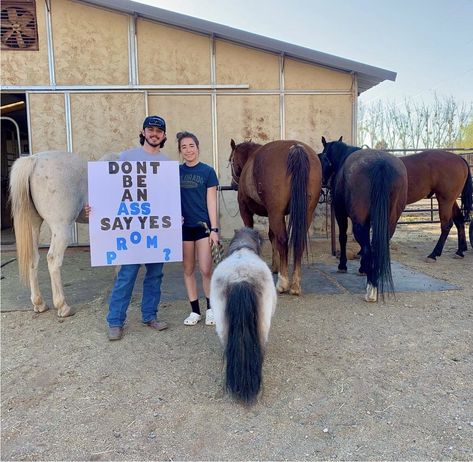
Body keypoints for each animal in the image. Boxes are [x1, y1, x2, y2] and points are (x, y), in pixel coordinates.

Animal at [9, 152, 118, 318]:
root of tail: (34, 160)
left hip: (33, 226)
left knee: (33, 259)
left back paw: (39, 304)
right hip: (61, 229)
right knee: (53, 259)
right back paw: (63, 306)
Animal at [229, 139, 320, 294]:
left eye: (231, 160)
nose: (232, 185)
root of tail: (296, 149)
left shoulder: (246, 210)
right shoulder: (273, 214)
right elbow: (272, 236)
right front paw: (275, 266)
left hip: (275, 213)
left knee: (283, 240)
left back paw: (282, 283)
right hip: (305, 213)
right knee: (298, 242)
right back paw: (295, 284)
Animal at [318, 136, 408, 304]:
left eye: (323, 159)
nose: (322, 182)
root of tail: (380, 164)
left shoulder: (340, 213)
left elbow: (343, 238)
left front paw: (343, 265)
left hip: (358, 223)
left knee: (368, 248)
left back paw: (371, 288)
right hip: (390, 223)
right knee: (376, 246)